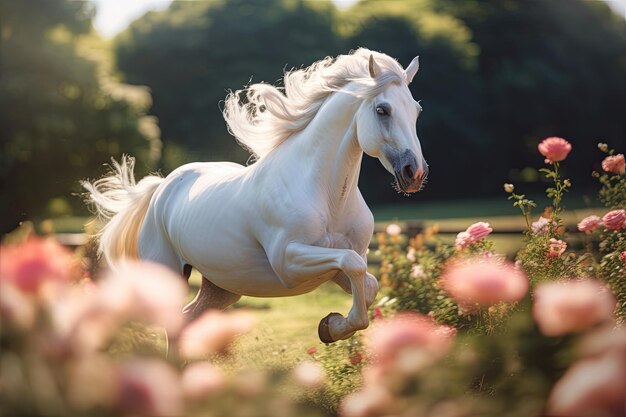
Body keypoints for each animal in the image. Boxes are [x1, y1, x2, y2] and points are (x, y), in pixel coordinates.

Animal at [83, 48, 426, 342]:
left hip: (221, 286)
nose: (415, 173)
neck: (327, 196)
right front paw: (328, 328)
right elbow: (352, 264)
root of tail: (162, 188)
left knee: (187, 319)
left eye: (416, 110)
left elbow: (368, 284)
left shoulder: (339, 265)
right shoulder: (289, 261)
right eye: (382, 109)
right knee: (173, 324)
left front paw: (330, 326)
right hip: (168, 276)